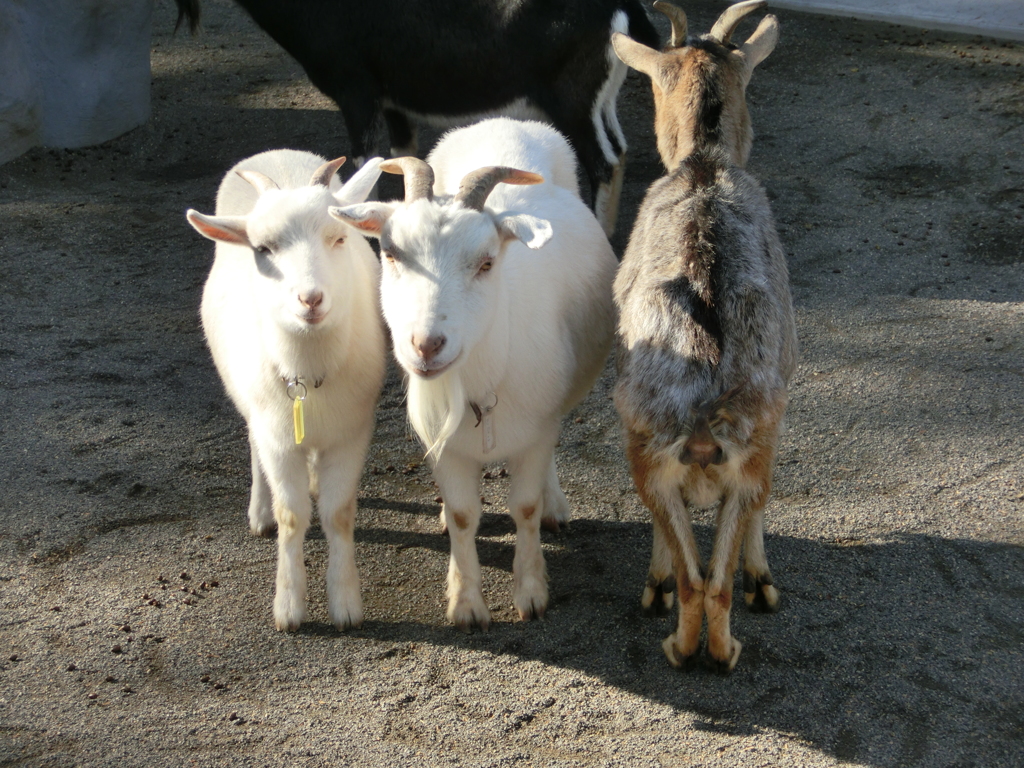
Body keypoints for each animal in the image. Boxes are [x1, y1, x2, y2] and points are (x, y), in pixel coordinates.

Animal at [174, 0, 655, 234]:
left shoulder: (357, 92)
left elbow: (361, 162)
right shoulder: (395, 105)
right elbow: (397, 157)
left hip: (572, 103)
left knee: (604, 163)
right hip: (600, 100)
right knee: (620, 151)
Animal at [184, 148, 387, 630]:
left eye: (338, 238)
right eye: (263, 249)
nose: (310, 299)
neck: (308, 374)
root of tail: (274, 154)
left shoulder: (352, 432)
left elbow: (338, 513)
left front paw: (345, 601)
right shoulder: (276, 434)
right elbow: (292, 516)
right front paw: (289, 605)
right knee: (253, 446)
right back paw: (259, 511)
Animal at [331, 118, 614, 630]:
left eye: (486, 262)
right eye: (390, 254)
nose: (426, 345)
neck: (484, 383)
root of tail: (506, 122)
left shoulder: (536, 431)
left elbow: (525, 507)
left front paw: (531, 592)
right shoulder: (445, 445)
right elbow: (465, 516)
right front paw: (465, 603)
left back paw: (556, 505)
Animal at [610, 1, 794, 671]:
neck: (705, 166)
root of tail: (704, 416)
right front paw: (762, 579)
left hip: (646, 445)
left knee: (701, 584)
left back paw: (677, 633)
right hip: (743, 438)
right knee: (712, 583)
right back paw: (716, 641)